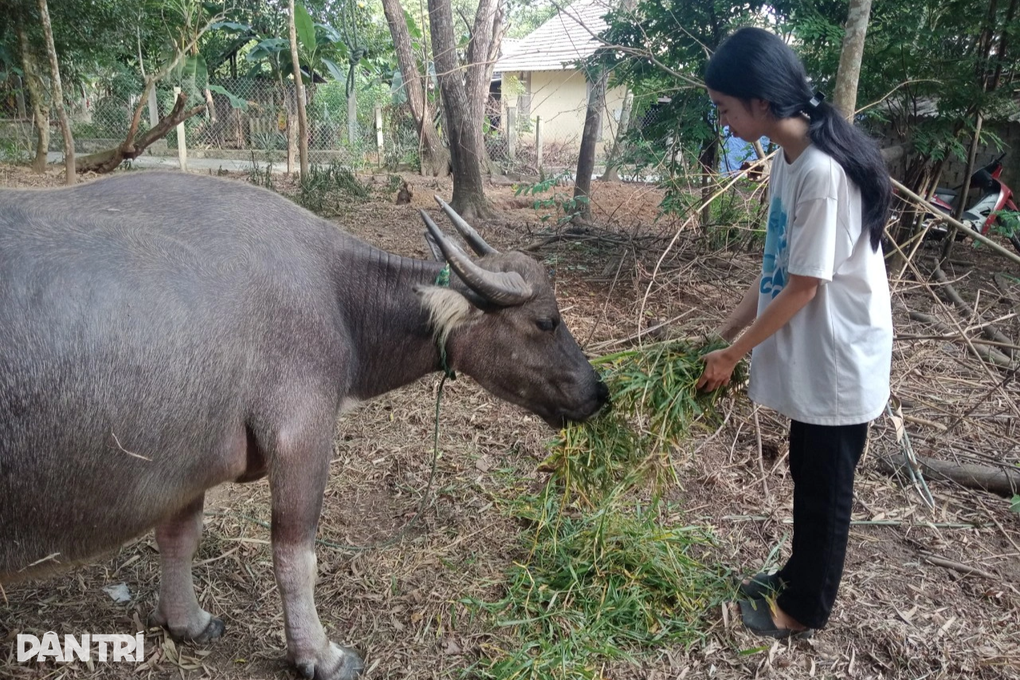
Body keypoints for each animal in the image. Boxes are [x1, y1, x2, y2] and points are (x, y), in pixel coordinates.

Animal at [0, 171, 603, 680]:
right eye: (546, 322)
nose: (599, 393)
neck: (338, 296)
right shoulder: (302, 437)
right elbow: (297, 557)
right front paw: (319, 654)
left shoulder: (185, 463)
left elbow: (179, 537)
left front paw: (187, 622)